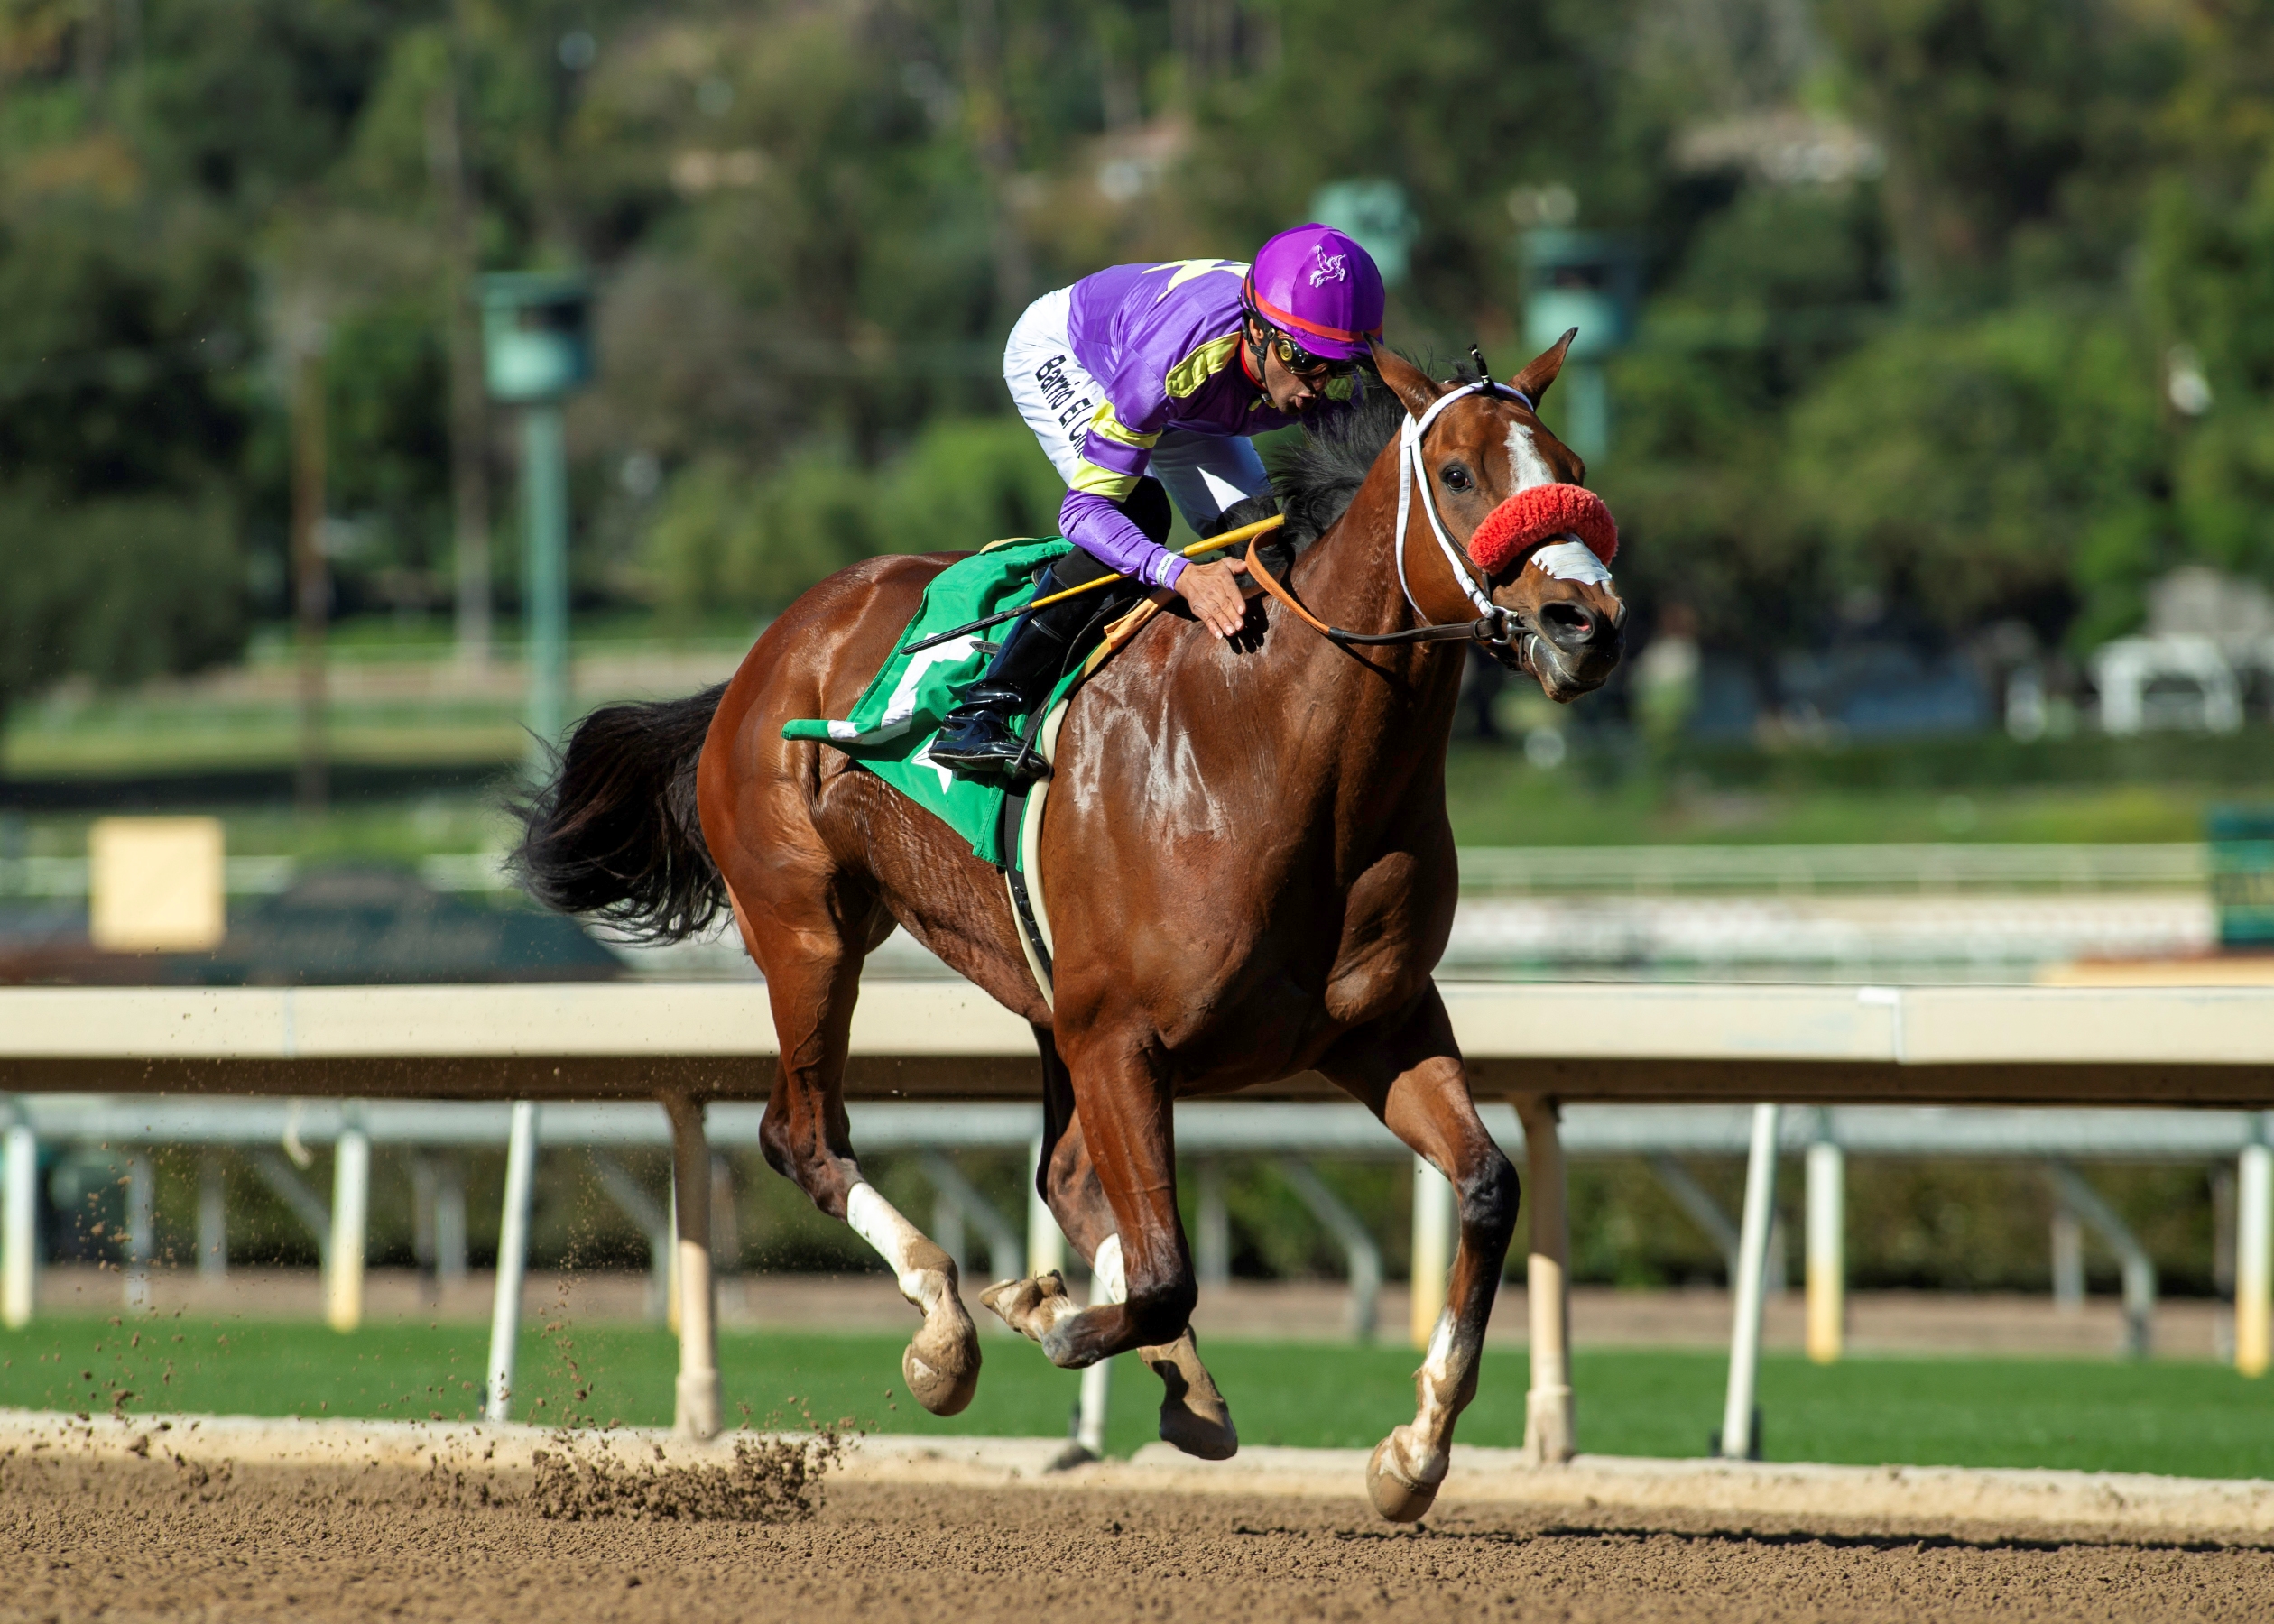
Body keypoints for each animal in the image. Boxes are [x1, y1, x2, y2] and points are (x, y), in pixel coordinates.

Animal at [512, 336, 1626, 1520]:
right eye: (1458, 474)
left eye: (1570, 466)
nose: (1586, 623)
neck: (1280, 749)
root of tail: (771, 645)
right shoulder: (1123, 1036)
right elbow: (1166, 1271)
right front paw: (1041, 1314)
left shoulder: (1376, 1025)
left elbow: (1488, 1188)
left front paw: (1412, 1453)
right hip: (812, 931)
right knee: (803, 1134)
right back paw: (946, 1332)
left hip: (1041, 996)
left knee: (1066, 1179)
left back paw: (1181, 1385)